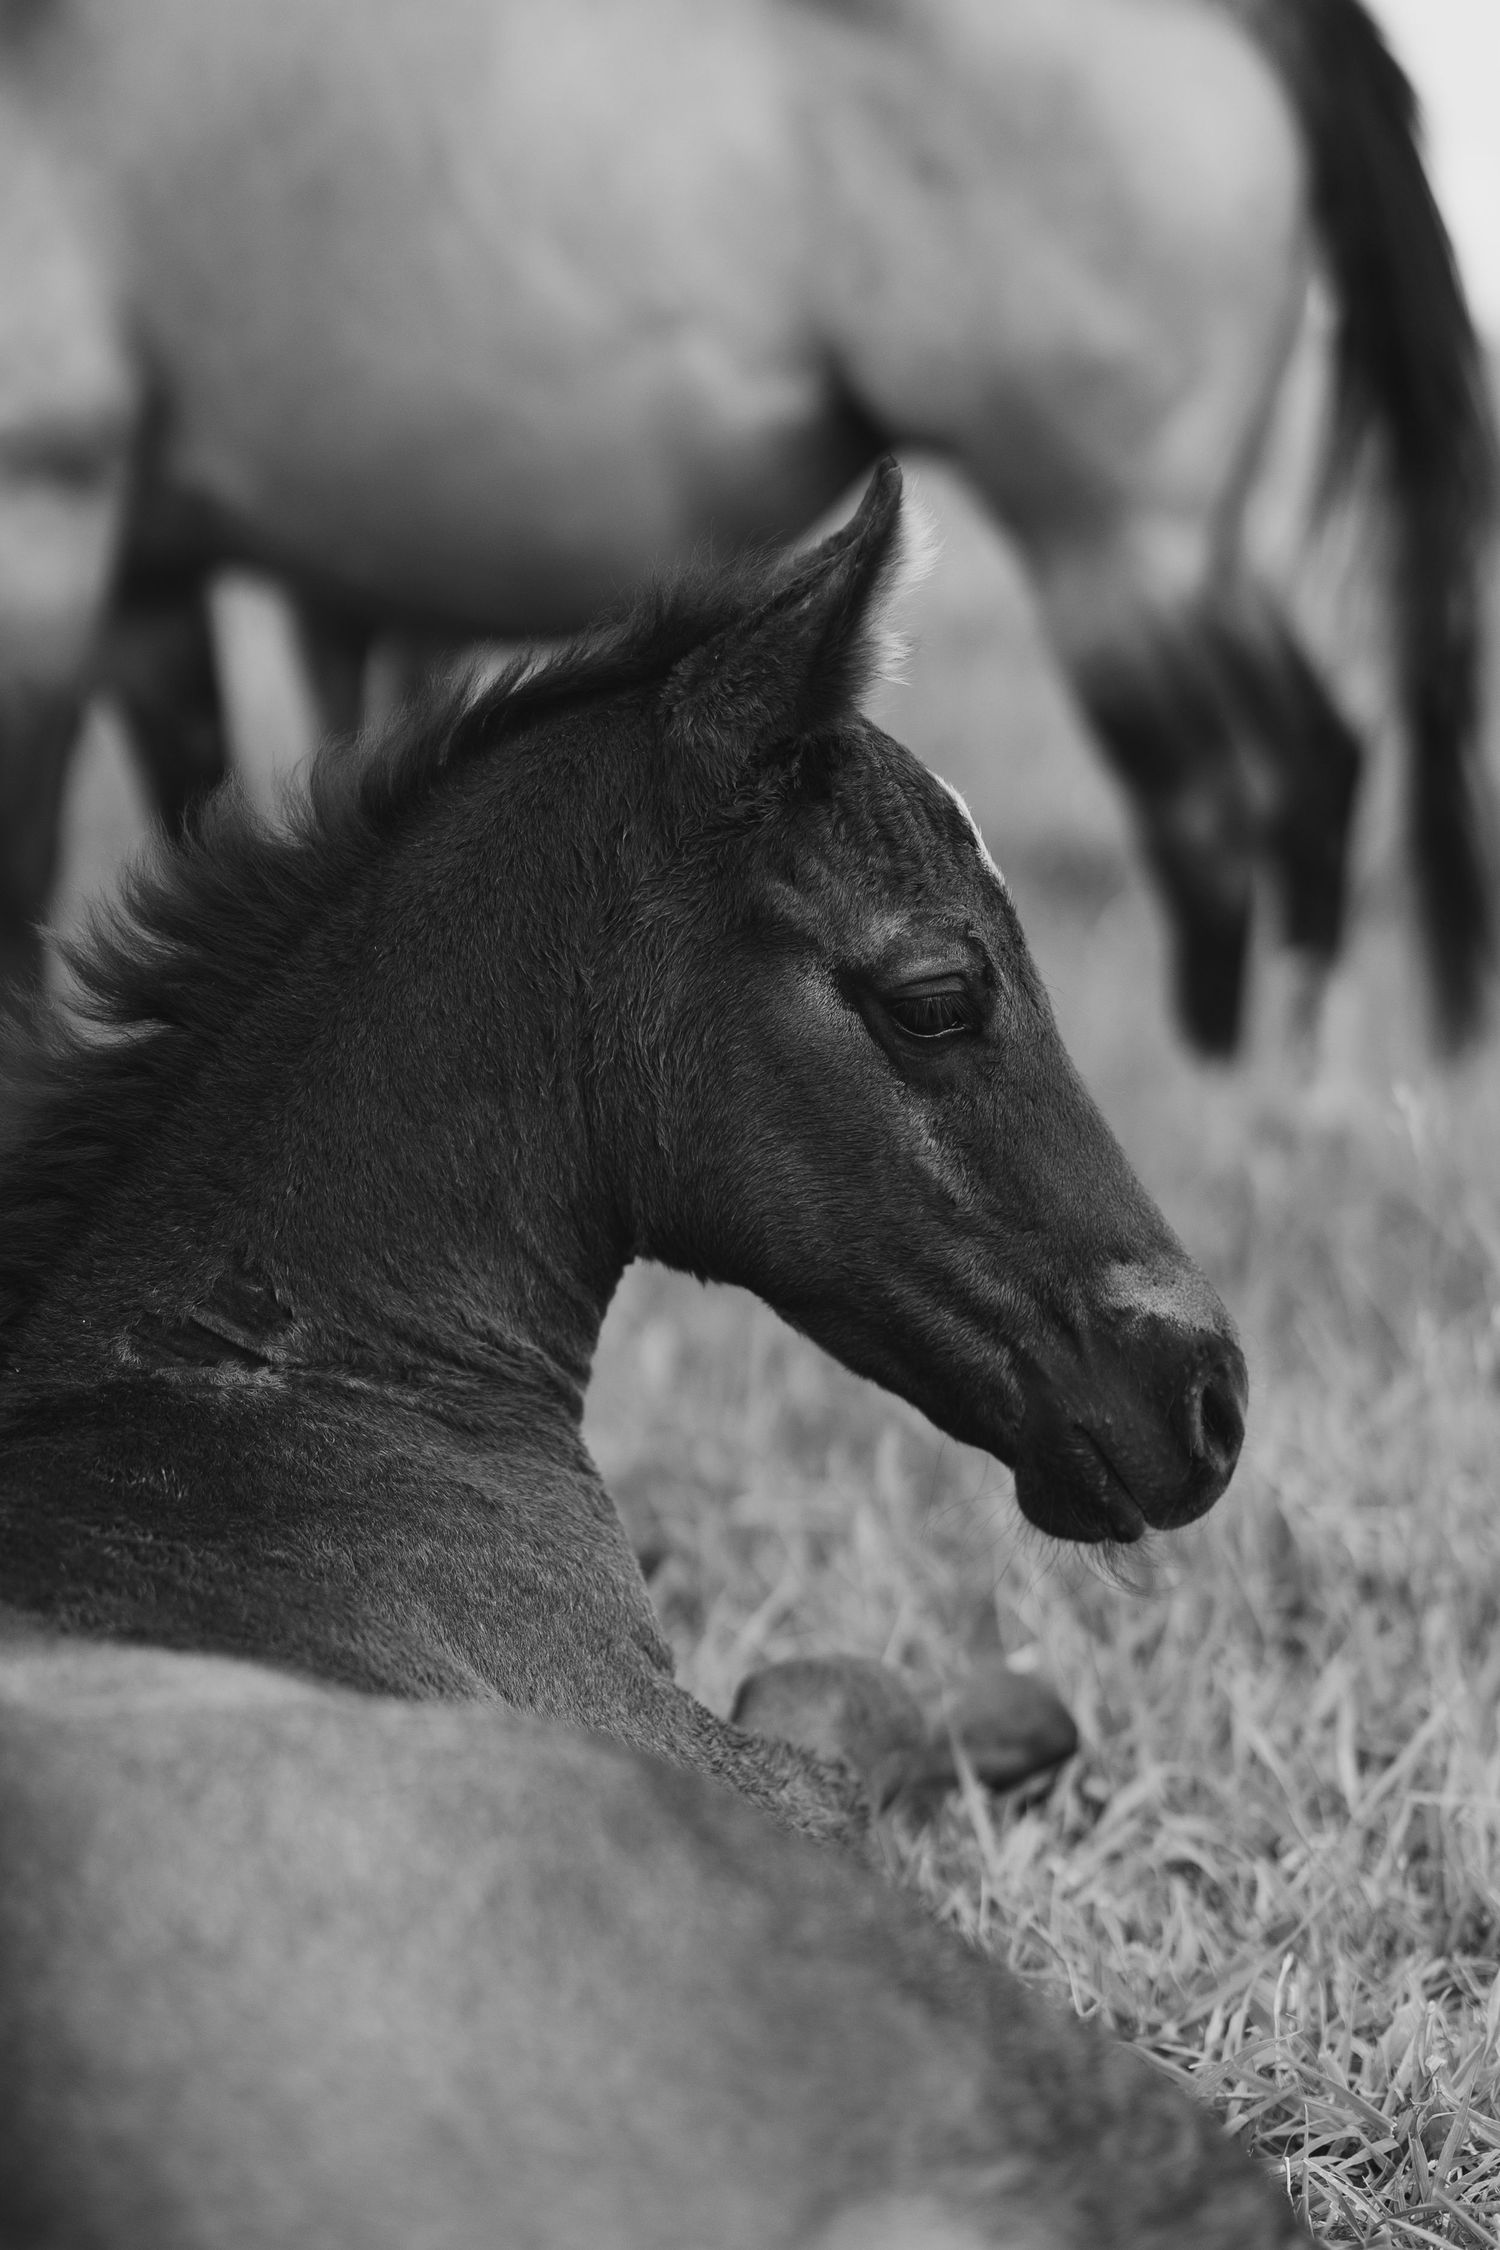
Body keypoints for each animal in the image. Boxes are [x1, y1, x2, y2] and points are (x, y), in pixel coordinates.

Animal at [0, 0, 1491, 1052]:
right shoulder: (142, 573)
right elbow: (190, 821)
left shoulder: (49, 521)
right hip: (1194, 552)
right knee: (1317, 767)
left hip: (1118, 546)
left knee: (1224, 810)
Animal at [0, 465, 1293, 2248]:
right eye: (938, 991)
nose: (1207, 1399)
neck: (256, 1388)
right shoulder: (729, 1765)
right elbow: (839, 1692)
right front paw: (1027, 1705)